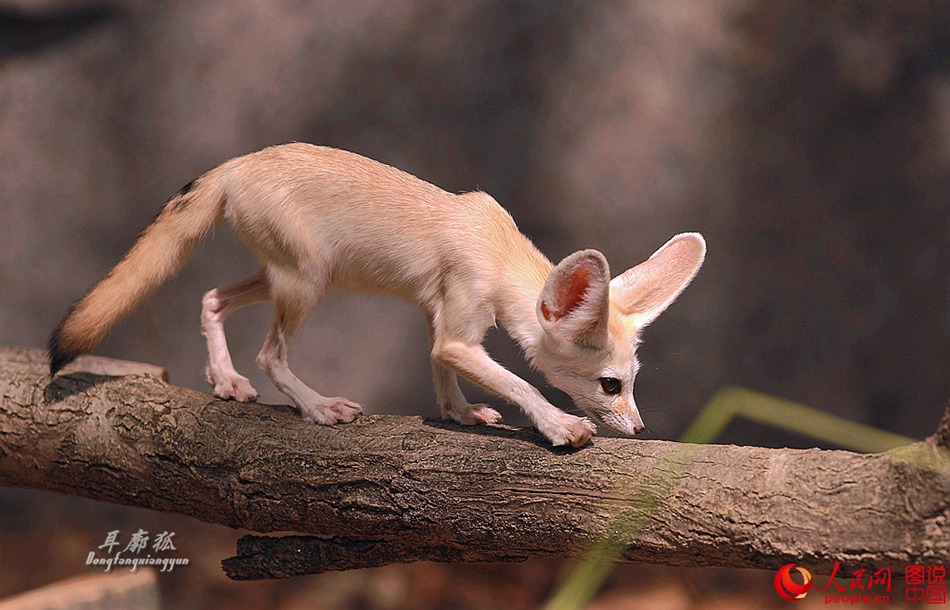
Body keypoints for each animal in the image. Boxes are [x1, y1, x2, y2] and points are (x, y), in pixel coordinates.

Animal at [48, 143, 705, 447]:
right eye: (610, 386)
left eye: (633, 382)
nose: (640, 427)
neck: (496, 248)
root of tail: (235, 164)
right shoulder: (457, 331)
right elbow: (518, 382)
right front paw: (560, 424)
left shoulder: (439, 321)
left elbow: (440, 370)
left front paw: (459, 413)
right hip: (306, 283)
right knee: (270, 354)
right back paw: (315, 407)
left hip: (287, 276)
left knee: (210, 297)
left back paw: (226, 381)